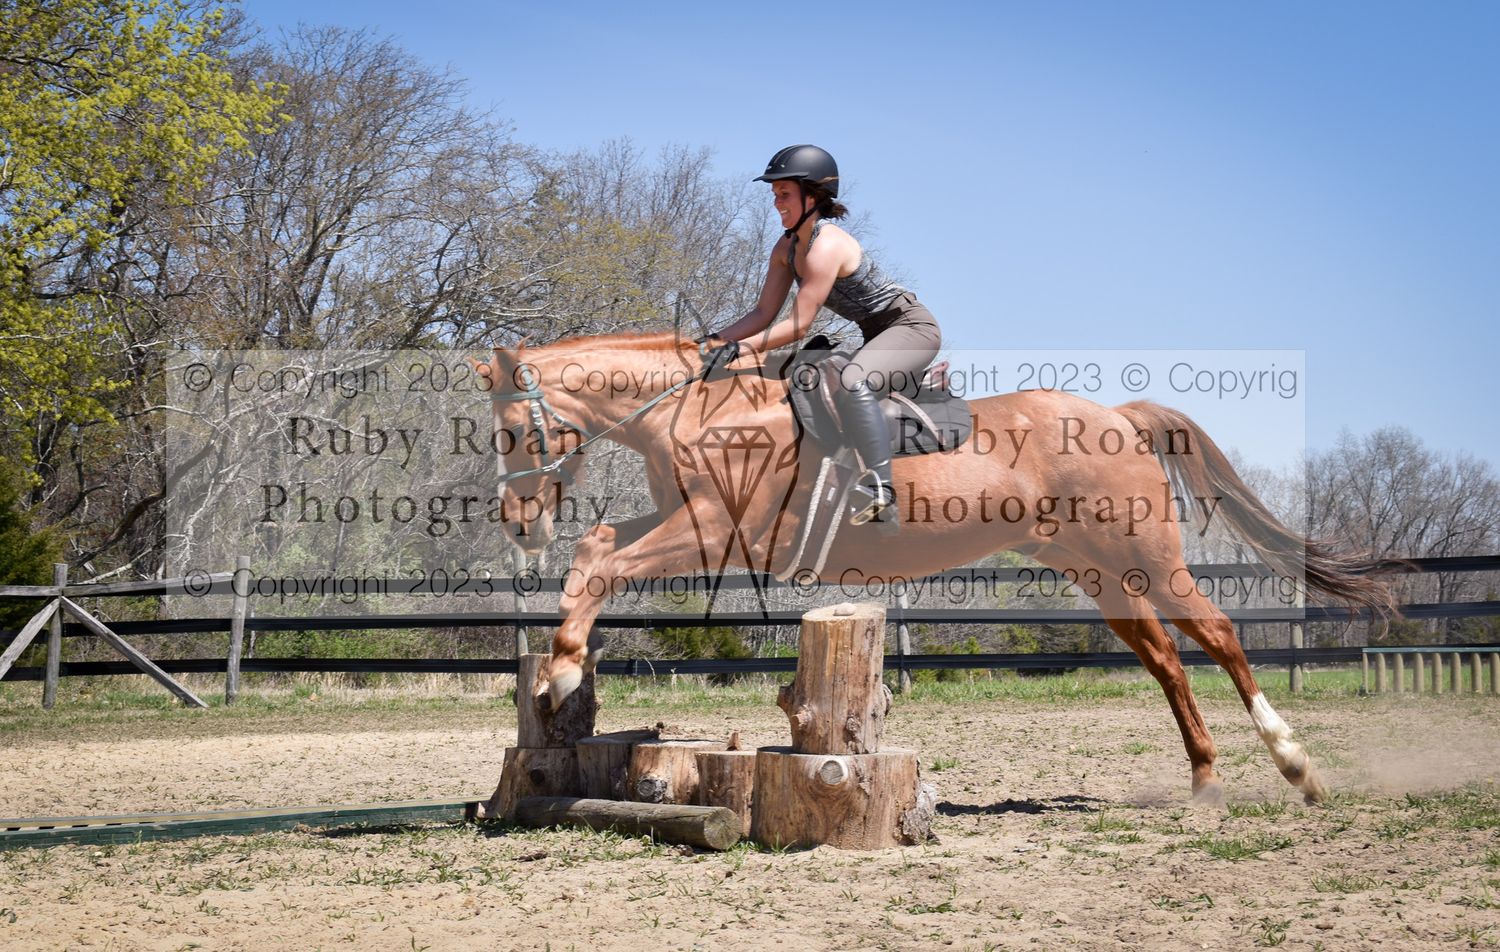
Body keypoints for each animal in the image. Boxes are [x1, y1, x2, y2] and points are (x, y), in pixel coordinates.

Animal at [474, 330, 1392, 804]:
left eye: (514, 432)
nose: (518, 521)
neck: (701, 412)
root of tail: (1119, 416)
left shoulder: (713, 530)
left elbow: (602, 563)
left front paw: (561, 672)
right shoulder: (689, 524)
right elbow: (598, 550)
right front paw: (559, 671)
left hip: (1146, 554)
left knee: (1219, 633)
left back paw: (1295, 766)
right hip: (1096, 571)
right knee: (1166, 658)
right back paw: (1203, 779)